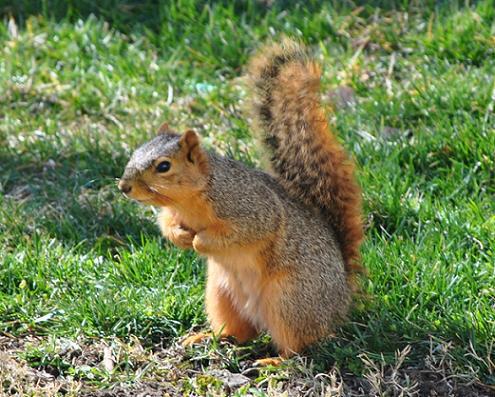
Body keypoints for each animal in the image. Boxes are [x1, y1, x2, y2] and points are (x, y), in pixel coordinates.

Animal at [117, 38, 364, 360]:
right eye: (135, 153)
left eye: (163, 166)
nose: (124, 186)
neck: (191, 199)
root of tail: (342, 300)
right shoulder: (173, 213)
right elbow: (168, 225)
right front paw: (181, 237)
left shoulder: (251, 209)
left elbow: (244, 232)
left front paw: (199, 242)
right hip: (221, 295)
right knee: (240, 332)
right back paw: (206, 338)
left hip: (290, 299)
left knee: (298, 345)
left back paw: (275, 361)